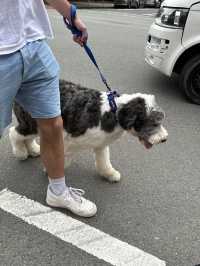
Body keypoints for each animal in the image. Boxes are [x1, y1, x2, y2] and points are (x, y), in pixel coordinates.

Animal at [10, 80, 168, 182]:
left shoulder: (101, 143)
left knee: (27, 137)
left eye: (161, 121)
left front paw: (109, 174)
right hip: (31, 122)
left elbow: (104, 161)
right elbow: (63, 158)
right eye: (154, 123)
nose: (164, 139)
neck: (113, 111)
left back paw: (33, 149)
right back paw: (21, 152)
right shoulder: (69, 138)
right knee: (14, 132)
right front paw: (51, 171)